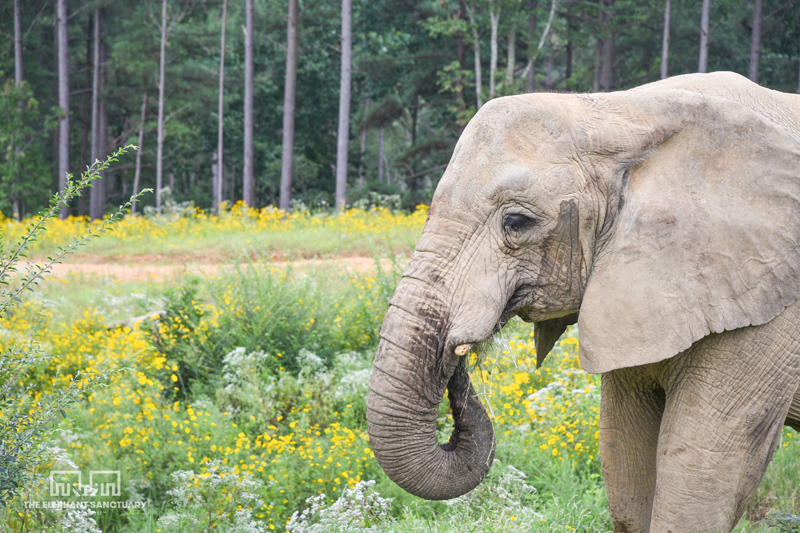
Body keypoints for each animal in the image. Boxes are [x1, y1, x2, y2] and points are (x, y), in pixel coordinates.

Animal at [366, 71, 800, 532]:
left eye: (516, 221)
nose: (456, 357)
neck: (623, 112)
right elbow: (625, 460)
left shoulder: (771, 308)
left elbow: (702, 471)